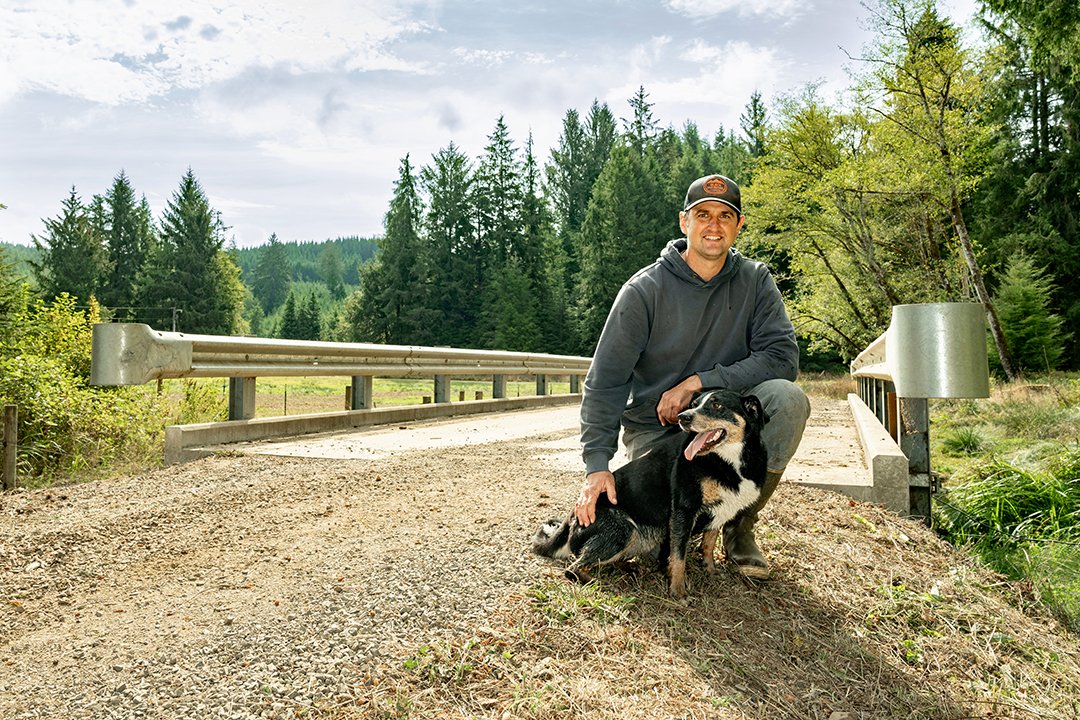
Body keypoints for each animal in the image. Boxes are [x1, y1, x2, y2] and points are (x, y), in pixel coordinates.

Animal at [531, 390, 768, 600]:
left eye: (717, 405)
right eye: (693, 404)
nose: (683, 417)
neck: (728, 460)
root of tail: (571, 519)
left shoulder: (720, 511)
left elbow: (708, 544)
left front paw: (710, 570)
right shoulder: (683, 510)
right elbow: (679, 556)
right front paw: (678, 592)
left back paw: (628, 568)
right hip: (624, 529)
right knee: (574, 567)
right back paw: (596, 581)